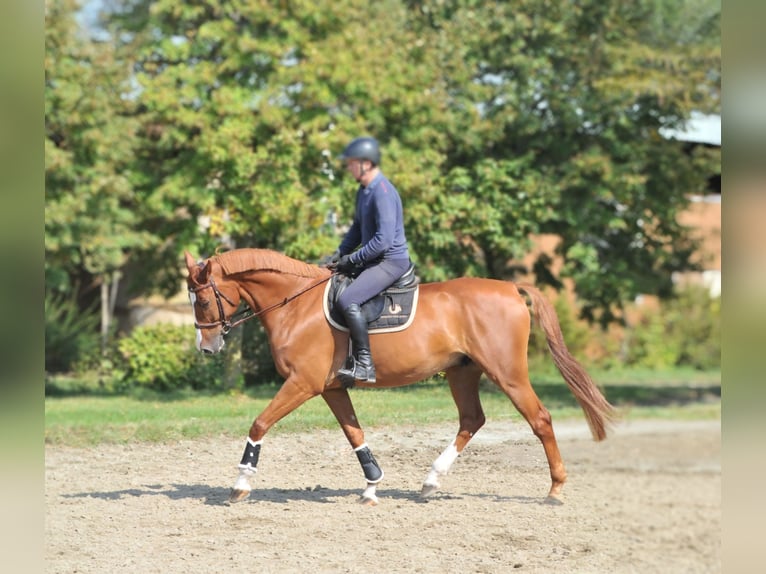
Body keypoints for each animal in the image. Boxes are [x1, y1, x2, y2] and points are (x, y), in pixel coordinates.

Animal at [184, 250, 616, 506]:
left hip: (507, 373)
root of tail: (510, 288)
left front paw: (241, 484)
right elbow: (354, 434)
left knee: (539, 419)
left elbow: (259, 423)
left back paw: (555, 489)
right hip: (462, 372)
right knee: (472, 419)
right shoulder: (330, 388)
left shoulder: (302, 384)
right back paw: (430, 481)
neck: (296, 305)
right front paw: (372, 485)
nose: (207, 348)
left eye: (202, 299)